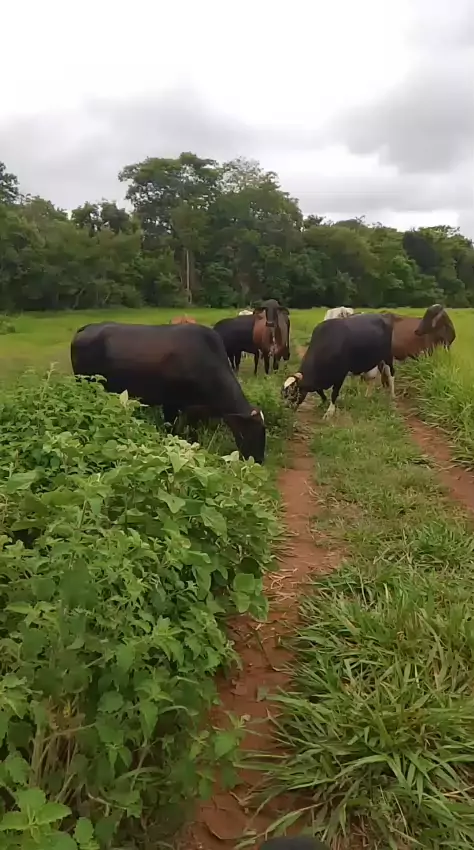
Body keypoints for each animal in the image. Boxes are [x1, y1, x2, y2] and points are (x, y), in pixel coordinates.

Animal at [71, 322, 266, 463]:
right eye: (252, 432)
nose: (258, 461)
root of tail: (86, 328)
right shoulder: (171, 404)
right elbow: (171, 429)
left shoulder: (196, 409)